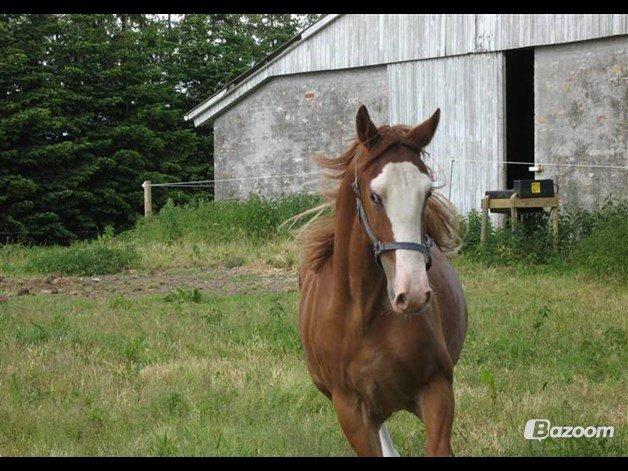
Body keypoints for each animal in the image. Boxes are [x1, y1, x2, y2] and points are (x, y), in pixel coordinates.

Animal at [298, 106, 466, 458]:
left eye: (427, 192)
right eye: (374, 196)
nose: (412, 294)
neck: (364, 315)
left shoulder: (437, 390)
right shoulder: (350, 409)